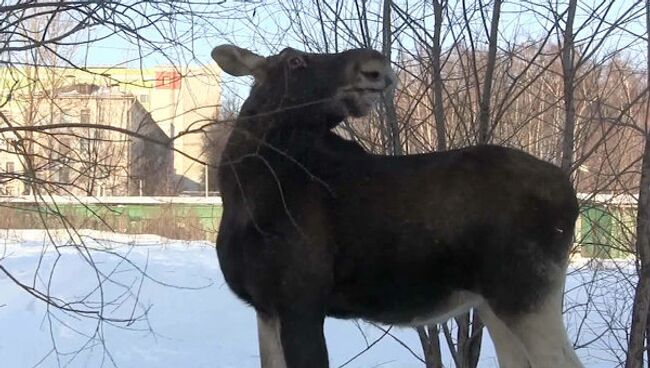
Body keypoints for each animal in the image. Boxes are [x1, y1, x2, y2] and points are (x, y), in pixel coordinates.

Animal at [211, 43, 584, 368]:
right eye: (294, 61)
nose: (375, 66)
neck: (246, 191)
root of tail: (571, 196)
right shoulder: (266, 307)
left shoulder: (301, 300)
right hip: (495, 303)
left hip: (526, 294)